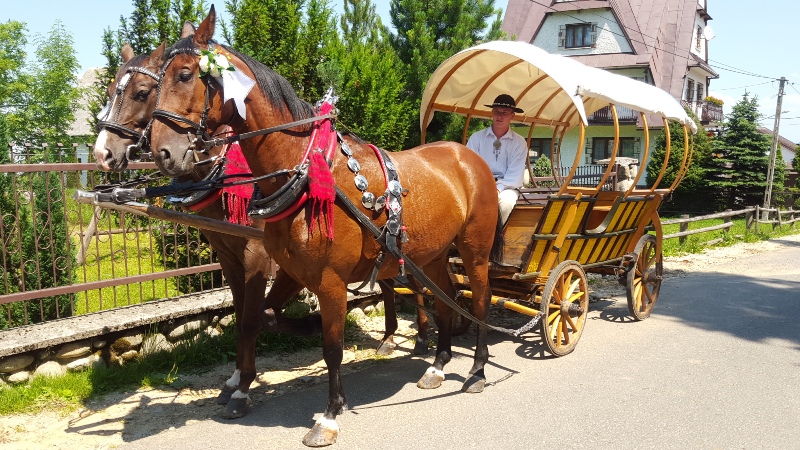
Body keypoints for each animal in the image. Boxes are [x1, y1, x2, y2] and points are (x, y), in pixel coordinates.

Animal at [93, 33, 432, 420]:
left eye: (142, 92)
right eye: (110, 90)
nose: (102, 153)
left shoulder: (256, 257)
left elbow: (251, 319)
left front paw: (243, 387)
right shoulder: (230, 257)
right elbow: (243, 313)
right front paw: (235, 378)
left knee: (415, 284)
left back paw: (422, 337)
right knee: (391, 285)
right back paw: (391, 337)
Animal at [144, 7, 494, 446]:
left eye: (186, 74)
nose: (162, 152)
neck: (305, 168)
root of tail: (468, 156)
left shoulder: (329, 281)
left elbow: (332, 348)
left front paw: (328, 416)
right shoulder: (293, 270)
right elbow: (263, 316)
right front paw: (289, 345)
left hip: (475, 251)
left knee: (478, 301)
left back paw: (477, 371)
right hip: (431, 254)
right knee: (446, 299)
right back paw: (438, 364)